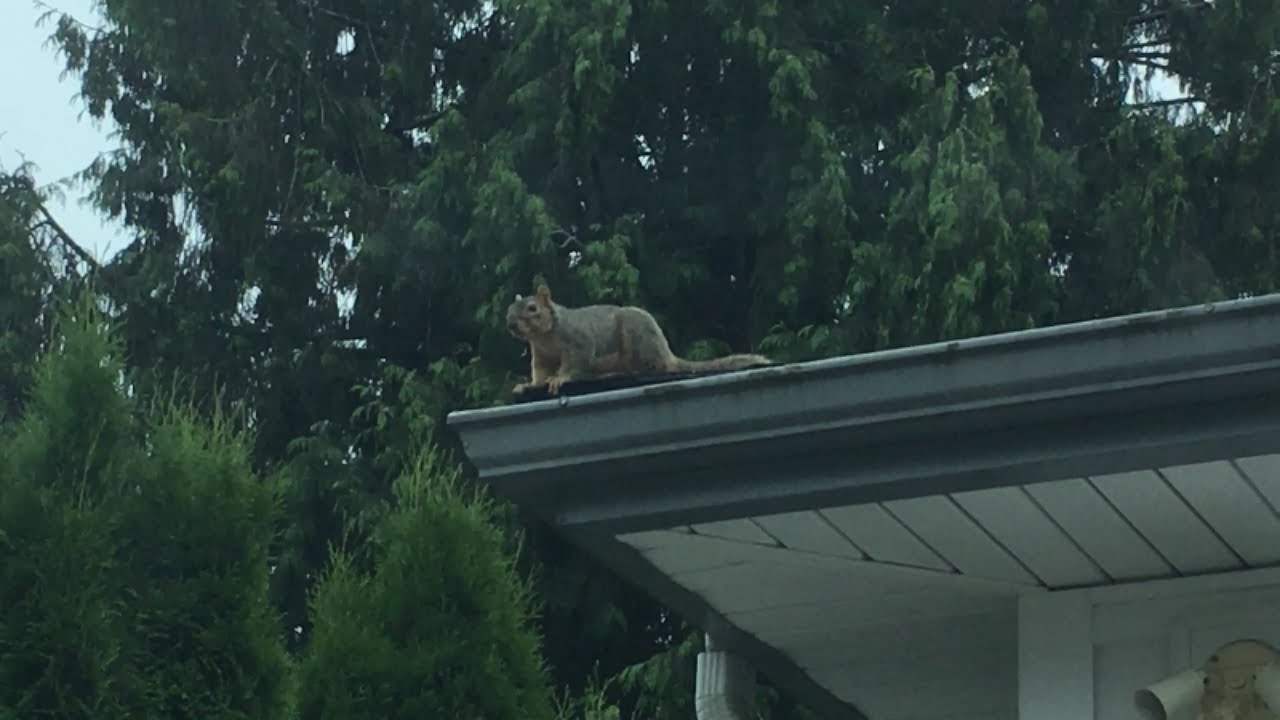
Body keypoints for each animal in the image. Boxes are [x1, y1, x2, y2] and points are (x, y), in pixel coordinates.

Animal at [505, 284, 772, 395]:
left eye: (532, 308)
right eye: (509, 308)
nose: (510, 324)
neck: (544, 336)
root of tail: (667, 353)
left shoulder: (579, 341)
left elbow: (576, 362)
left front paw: (560, 379)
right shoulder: (541, 356)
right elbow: (539, 373)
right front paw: (528, 385)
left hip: (636, 338)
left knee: (647, 368)